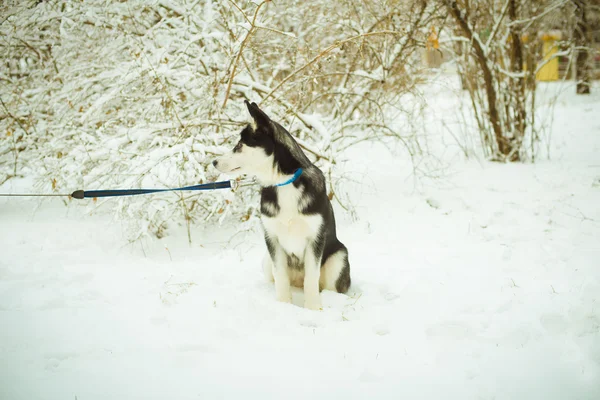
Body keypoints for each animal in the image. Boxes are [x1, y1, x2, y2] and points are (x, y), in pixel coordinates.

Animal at [212, 100, 350, 310]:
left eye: (239, 145)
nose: (214, 162)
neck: (283, 182)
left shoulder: (315, 238)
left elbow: (312, 277)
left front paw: (313, 308)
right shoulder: (272, 239)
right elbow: (281, 276)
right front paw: (284, 304)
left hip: (339, 257)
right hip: (266, 260)